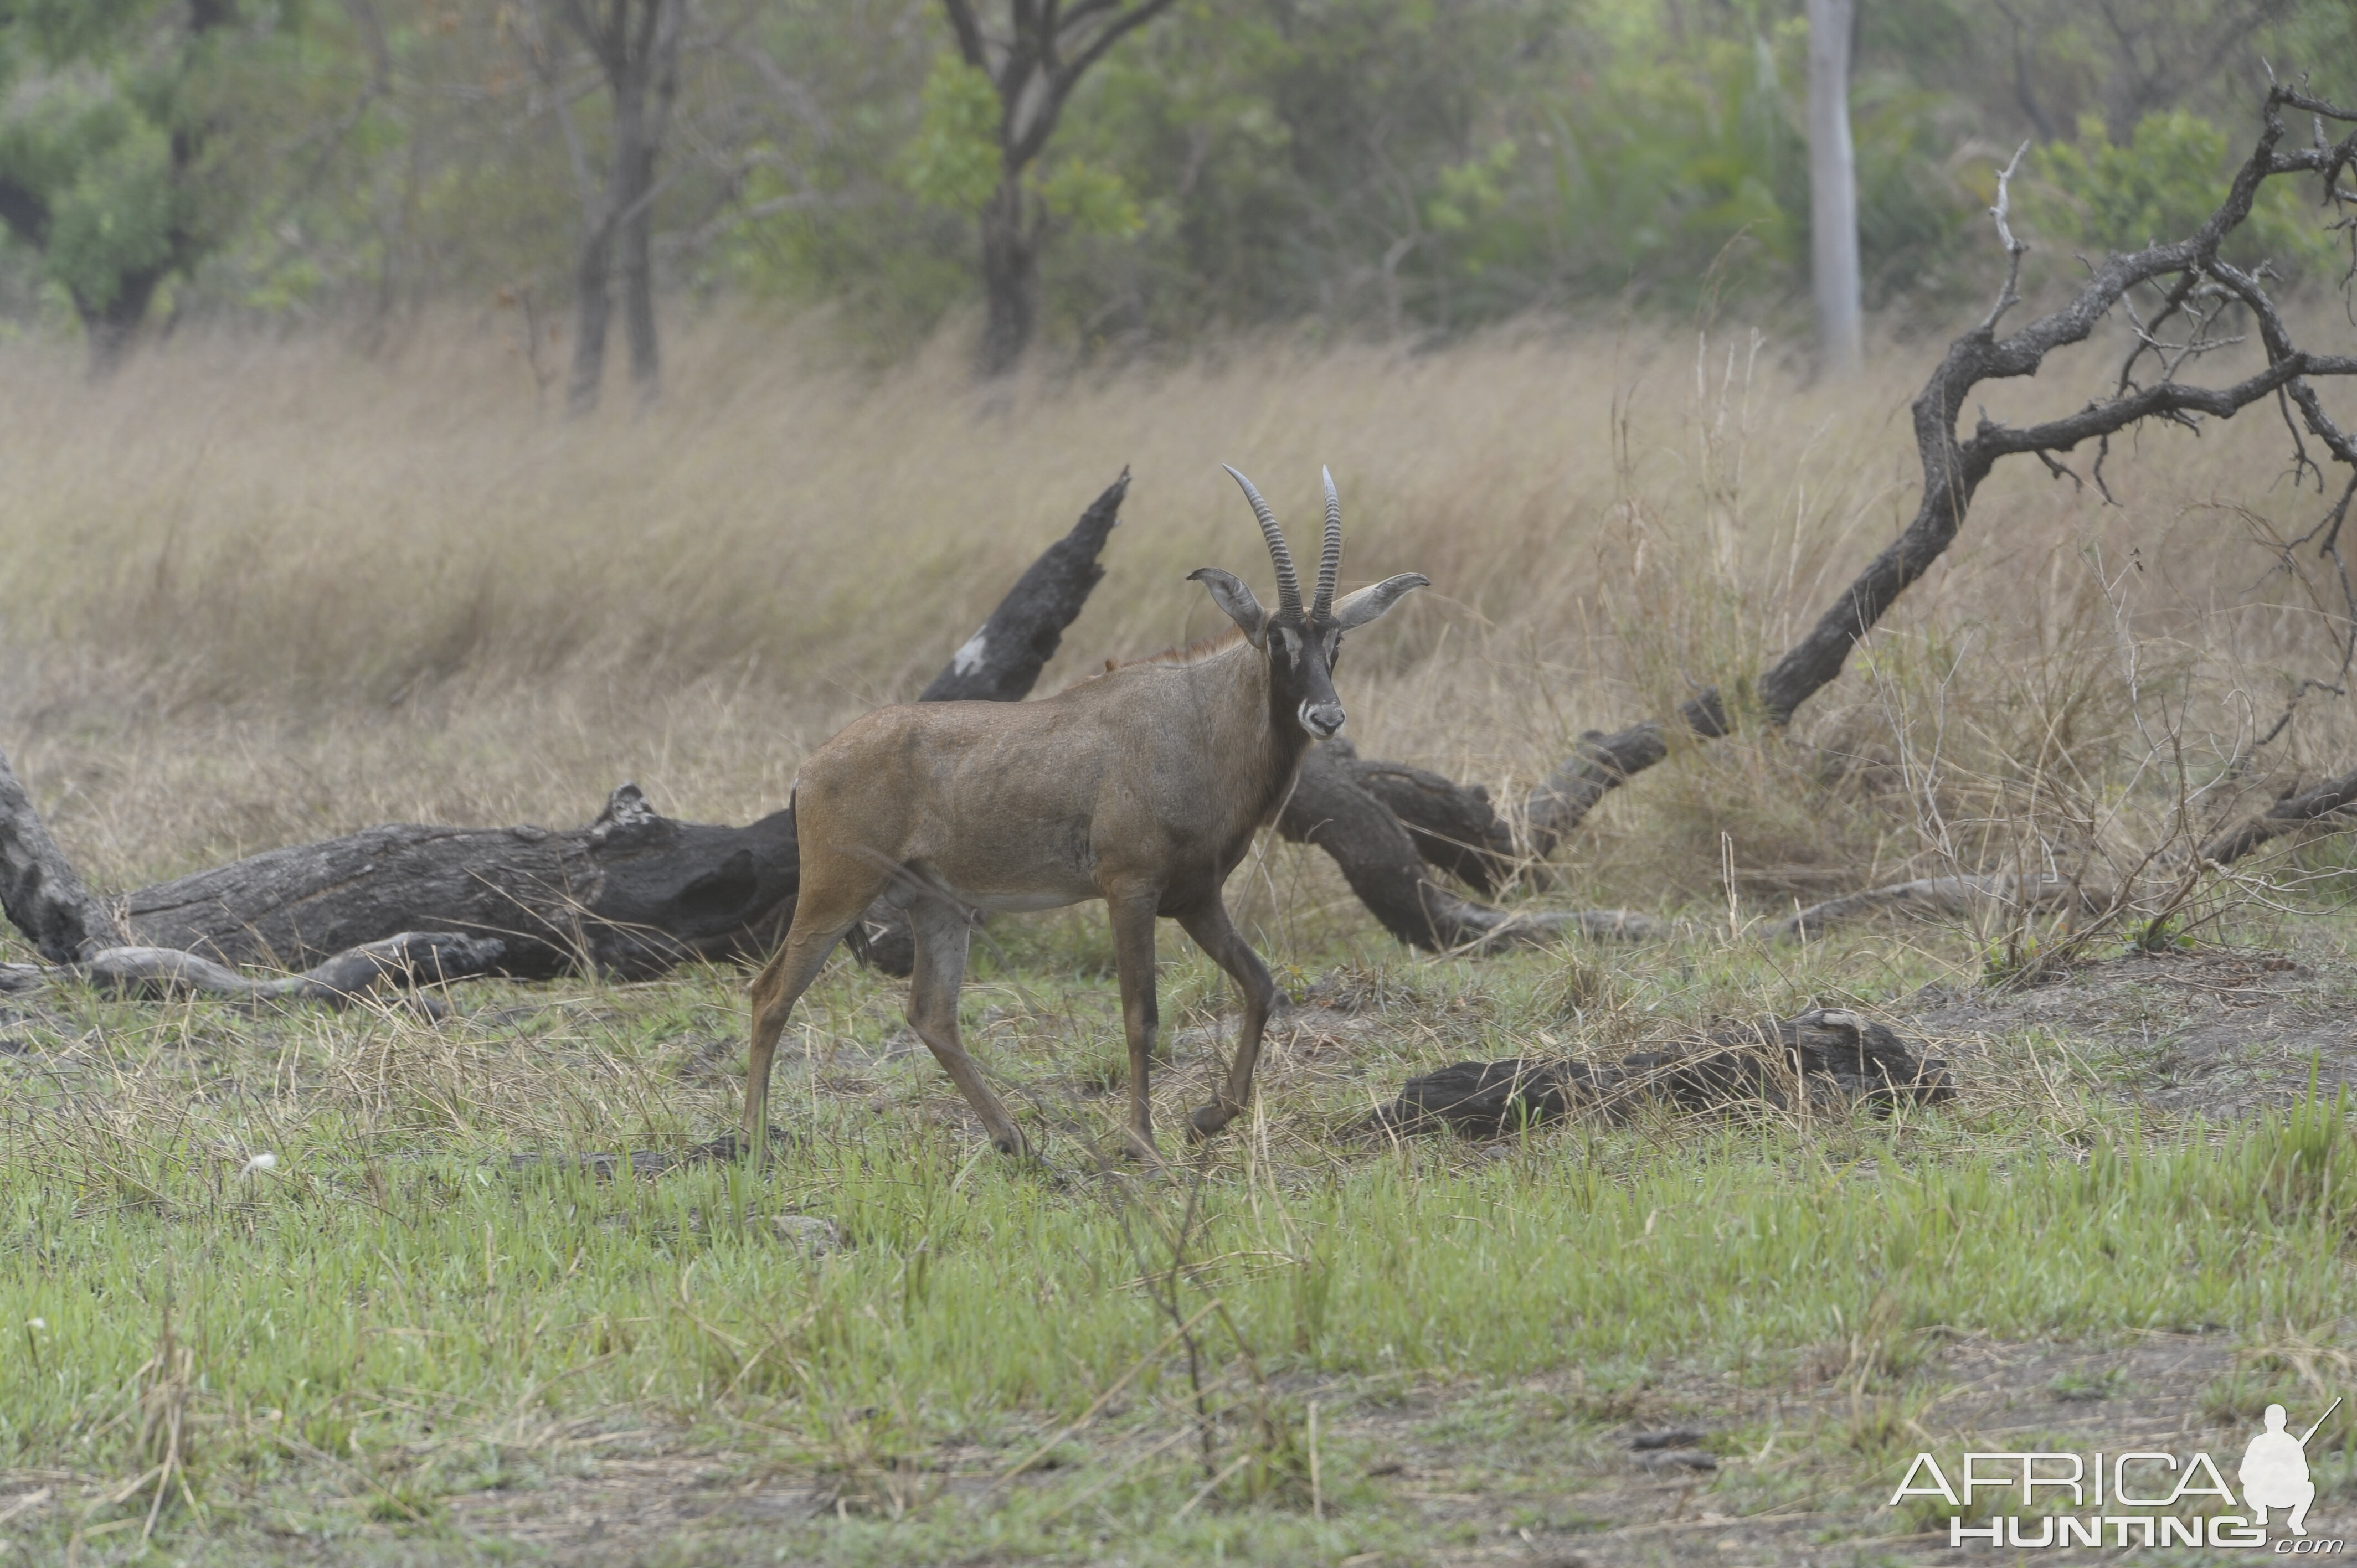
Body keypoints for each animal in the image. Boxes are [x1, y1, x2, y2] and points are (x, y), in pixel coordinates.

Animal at [744, 471, 1423, 1155]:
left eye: (1336, 639)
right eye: (1276, 639)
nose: (1326, 716)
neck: (1196, 720)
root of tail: (810, 768)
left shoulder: (1196, 899)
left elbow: (1259, 985)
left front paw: (1207, 1117)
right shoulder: (1130, 891)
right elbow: (1140, 1016)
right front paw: (1142, 1142)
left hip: (938, 906)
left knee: (931, 1014)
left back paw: (1014, 1140)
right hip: (837, 893)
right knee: (770, 993)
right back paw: (750, 1141)